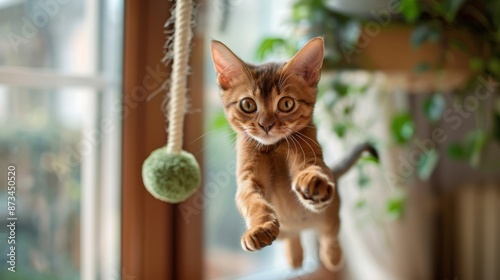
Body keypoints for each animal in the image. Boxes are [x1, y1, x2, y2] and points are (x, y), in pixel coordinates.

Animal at [211, 37, 378, 272]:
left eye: (286, 103)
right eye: (248, 104)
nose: (266, 125)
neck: (273, 148)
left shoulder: (309, 156)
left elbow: (312, 168)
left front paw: (314, 183)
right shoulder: (246, 180)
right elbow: (253, 201)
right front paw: (260, 228)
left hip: (331, 214)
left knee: (330, 234)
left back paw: (333, 257)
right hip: (288, 232)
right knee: (292, 236)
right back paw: (295, 257)